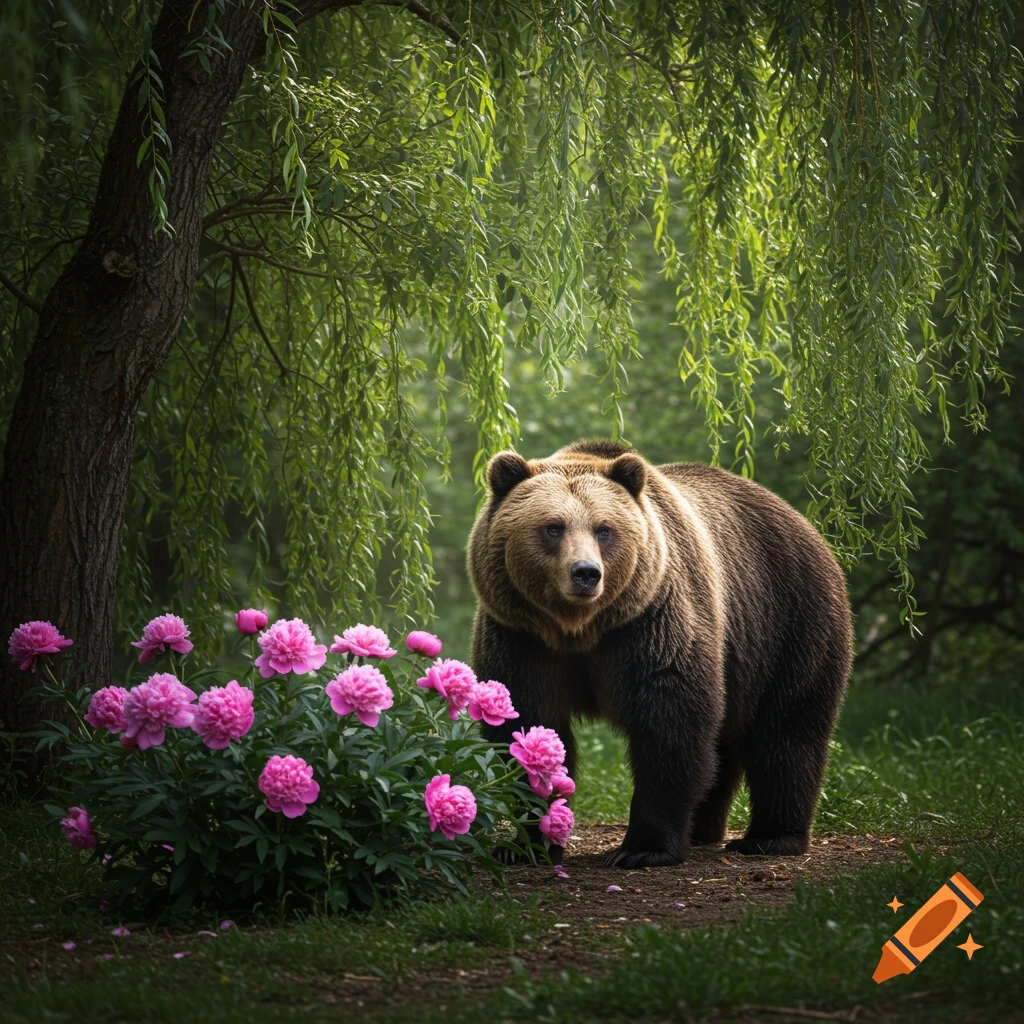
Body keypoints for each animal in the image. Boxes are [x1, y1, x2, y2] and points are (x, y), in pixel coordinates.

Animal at [467, 439, 853, 868]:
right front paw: (526, 843)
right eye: (553, 527)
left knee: (787, 730)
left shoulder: (652, 621)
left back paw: (770, 836)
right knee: (727, 743)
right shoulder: (522, 636)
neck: (579, 629)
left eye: (604, 529)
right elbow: (525, 722)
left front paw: (642, 848)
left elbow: (670, 722)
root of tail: (805, 524)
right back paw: (704, 830)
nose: (586, 573)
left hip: (789, 622)